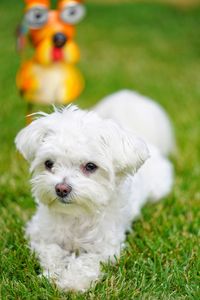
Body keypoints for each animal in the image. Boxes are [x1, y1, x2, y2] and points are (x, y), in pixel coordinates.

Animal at [14, 89, 174, 290]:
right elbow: (52, 252)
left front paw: (72, 282)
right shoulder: (39, 234)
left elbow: (86, 263)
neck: (76, 217)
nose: (61, 189)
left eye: (90, 166)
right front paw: (53, 274)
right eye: (49, 163)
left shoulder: (105, 248)